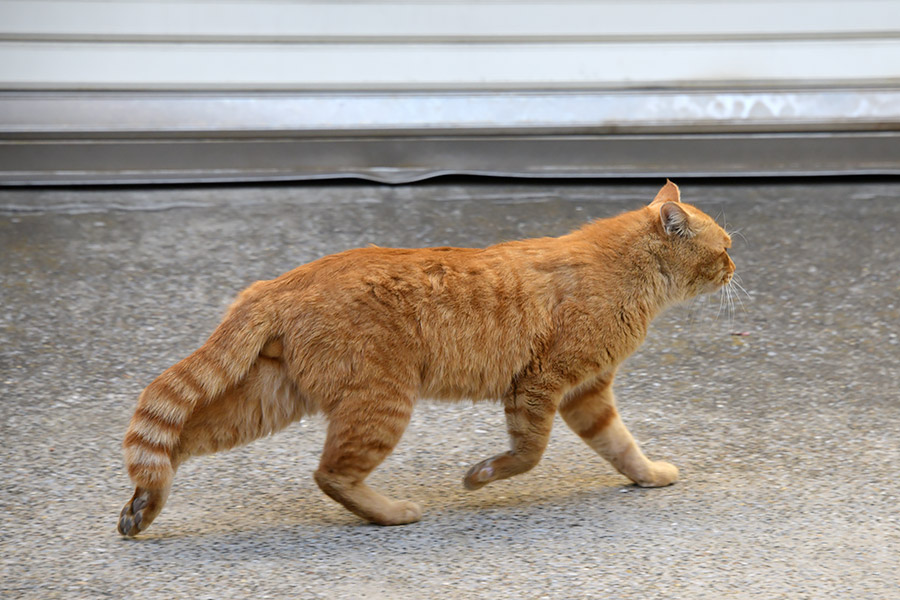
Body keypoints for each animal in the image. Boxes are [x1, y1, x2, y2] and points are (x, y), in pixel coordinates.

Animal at [118, 182, 732, 536]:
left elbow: (622, 446)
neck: (626, 272)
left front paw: (649, 475)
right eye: (724, 247)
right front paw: (481, 477)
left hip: (271, 400)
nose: (734, 268)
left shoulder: (587, 393)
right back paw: (392, 513)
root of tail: (280, 282)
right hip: (382, 403)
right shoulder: (541, 384)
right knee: (329, 473)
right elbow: (527, 453)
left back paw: (144, 505)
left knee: (183, 439)